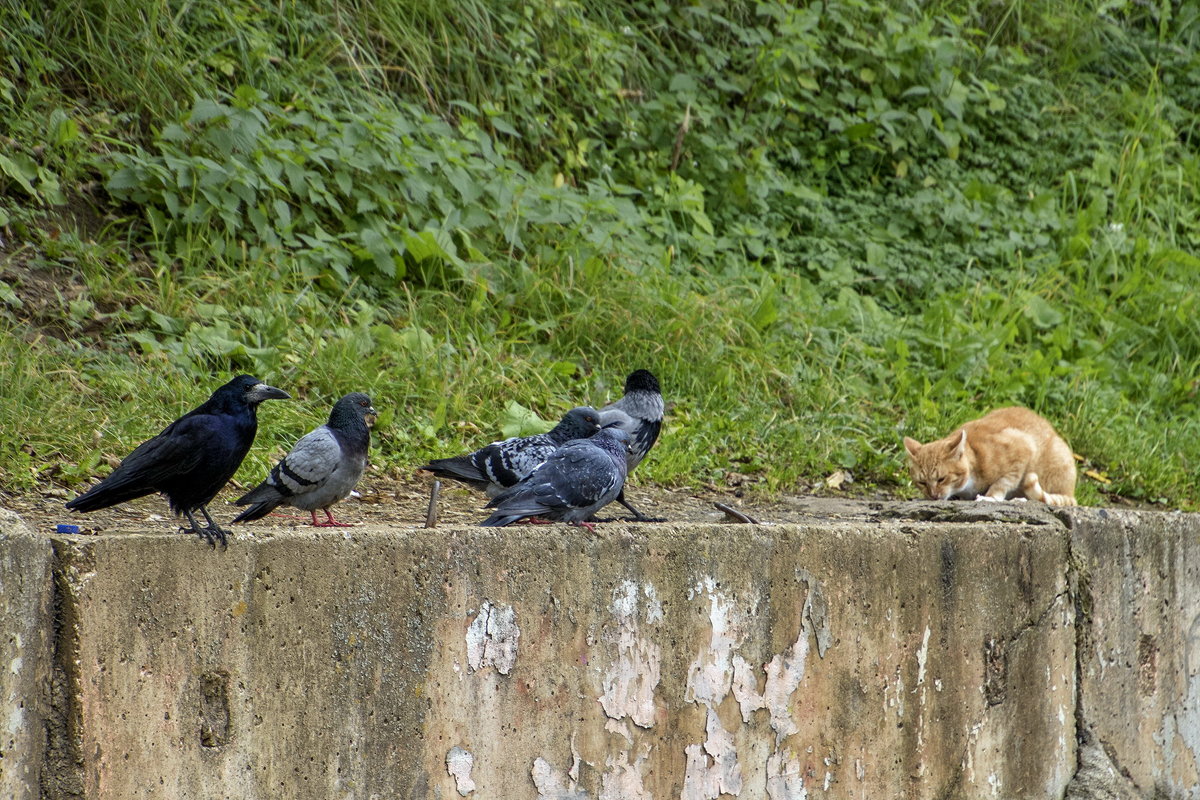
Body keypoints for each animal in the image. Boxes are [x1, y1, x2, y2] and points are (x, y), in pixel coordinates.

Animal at [902, 407, 1080, 506]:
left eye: (941, 479)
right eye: (922, 482)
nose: (932, 496)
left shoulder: (1023, 447)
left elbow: (1003, 482)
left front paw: (990, 497)